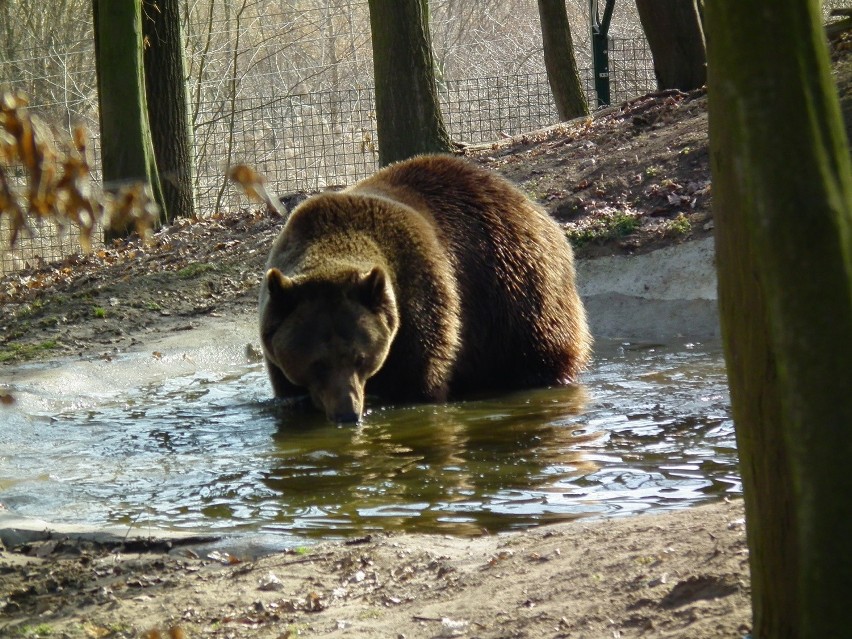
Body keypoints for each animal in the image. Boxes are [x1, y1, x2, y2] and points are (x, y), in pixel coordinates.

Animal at [260, 154, 592, 424]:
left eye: (360, 357)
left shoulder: (421, 306)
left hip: (517, 289)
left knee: (540, 347)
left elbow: (418, 381)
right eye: (316, 363)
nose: (347, 413)